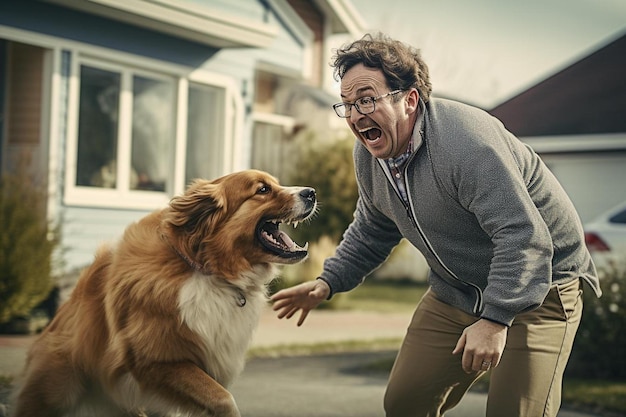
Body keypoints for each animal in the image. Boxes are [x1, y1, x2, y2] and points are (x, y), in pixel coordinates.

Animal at [11, 169, 316, 416]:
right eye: (262, 190)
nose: (311, 192)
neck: (207, 269)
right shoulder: (158, 362)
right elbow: (223, 400)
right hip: (57, 391)